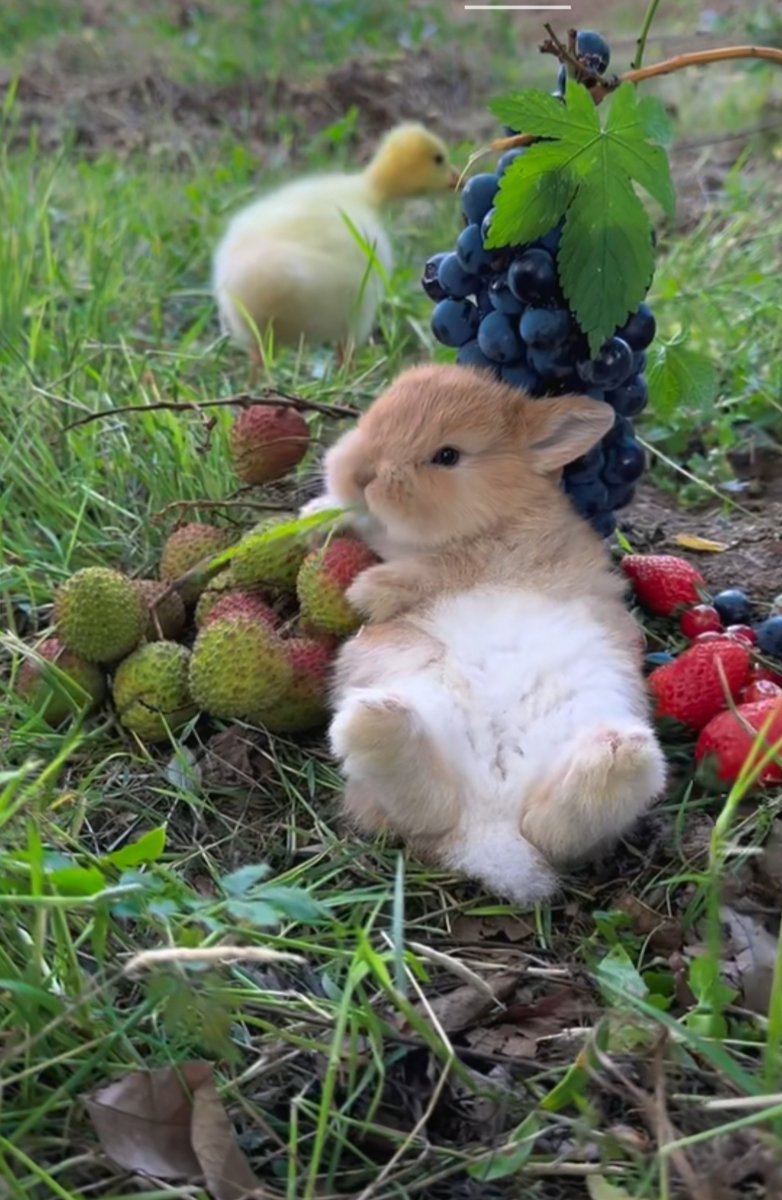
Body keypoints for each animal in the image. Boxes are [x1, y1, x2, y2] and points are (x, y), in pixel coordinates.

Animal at [301, 364, 666, 903]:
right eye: (370, 416)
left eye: (447, 456)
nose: (359, 474)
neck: (503, 510)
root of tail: (491, 836)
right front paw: (315, 515)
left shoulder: (491, 552)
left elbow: (436, 568)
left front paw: (366, 590)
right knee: (437, 812)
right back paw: (383, 722)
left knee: (553, 829)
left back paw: (614, 756)